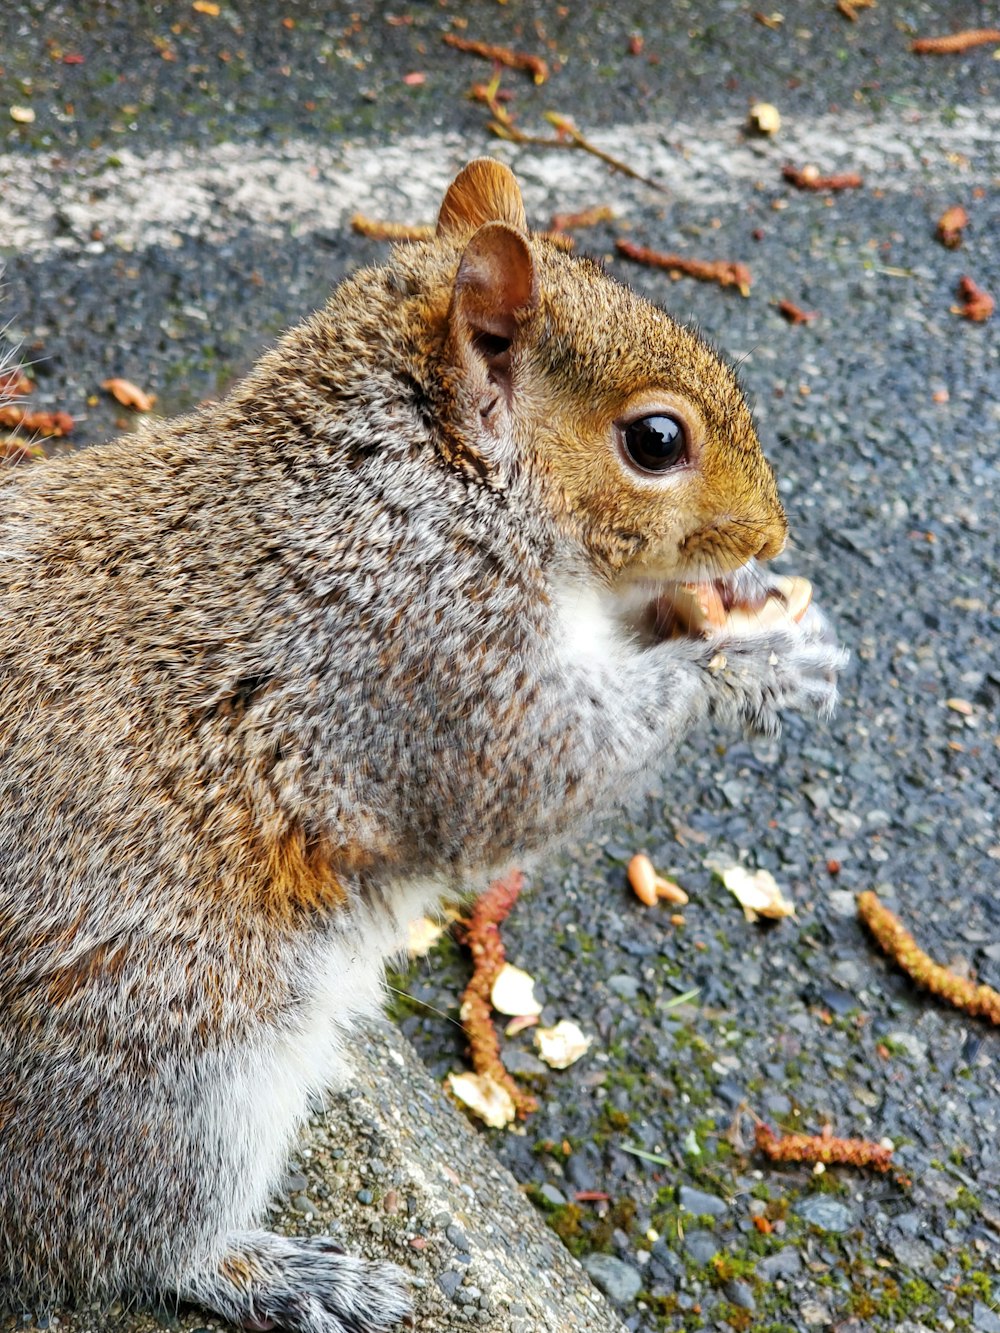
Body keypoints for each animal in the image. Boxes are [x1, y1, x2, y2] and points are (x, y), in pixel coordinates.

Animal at [0, 161, 848, 1327]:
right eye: (656, 442)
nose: (770, 536)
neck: (428, 485)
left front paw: (736, 605)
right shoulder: (416, 651)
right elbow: (534, 773)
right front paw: (757, 660)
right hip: (174, 1068)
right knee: (125, 1232)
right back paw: (272, 1271)